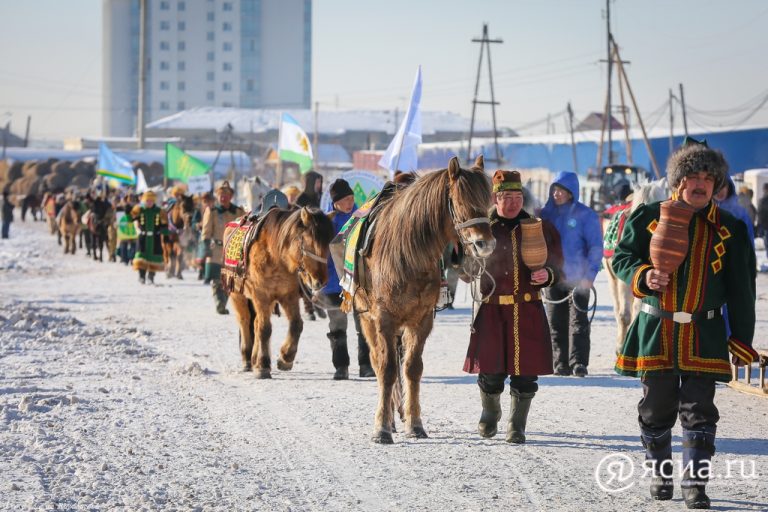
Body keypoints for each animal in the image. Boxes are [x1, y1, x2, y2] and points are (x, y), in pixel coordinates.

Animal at [228, 208, 336, 380]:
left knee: (256, 322)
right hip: (237, 295)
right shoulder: (262, 295)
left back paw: (254, 358)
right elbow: (265, 329)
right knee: (245, 321)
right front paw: (263, 366)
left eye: (328, 246)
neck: (275, 256)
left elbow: (296, 325)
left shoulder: (288, 296)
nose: (321, 281)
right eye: (310, 244)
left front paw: (285, 358)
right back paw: (247, 360)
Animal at [352, 156, 492, 444]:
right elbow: (387, 369)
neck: (407, 257)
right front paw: (381, 428)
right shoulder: (384, 319)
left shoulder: (422, 319)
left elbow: (412, 369)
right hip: (367, 318)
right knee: (378, 361)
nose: (485, 244)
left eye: (487, 200)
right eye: (460, 201)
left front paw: (414, 423)